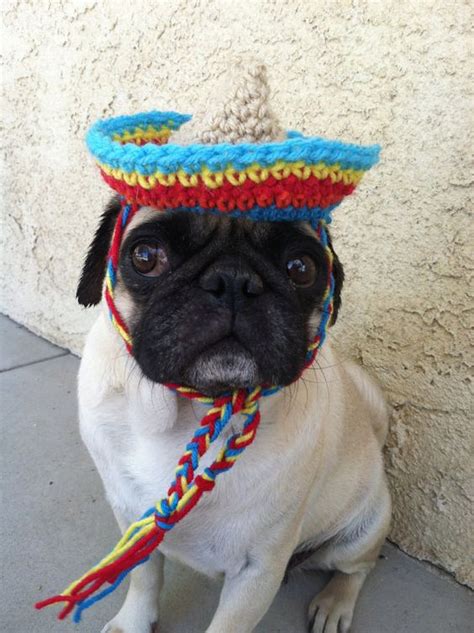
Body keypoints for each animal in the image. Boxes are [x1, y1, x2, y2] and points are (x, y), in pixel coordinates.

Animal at [76, 198, 390, 632]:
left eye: (301, 268)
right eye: (145, 257)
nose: (233, 280)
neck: (191, 412)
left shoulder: (257, 570)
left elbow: (227, 624)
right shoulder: (131, 519)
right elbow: (143, 577)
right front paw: (132, 623)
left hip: (361, 530)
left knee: (356, 568)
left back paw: (334, 605)